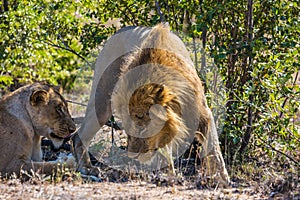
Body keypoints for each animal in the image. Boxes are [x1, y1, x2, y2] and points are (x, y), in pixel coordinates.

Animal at [73, 23, 230, 184]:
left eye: (142, 127)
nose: (132, 155)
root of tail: (119, 31)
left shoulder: (202, 113)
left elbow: (213, 146)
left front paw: (223, 177)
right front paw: (169, 175)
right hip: (102, 100)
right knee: (79, 135)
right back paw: (86, 168)